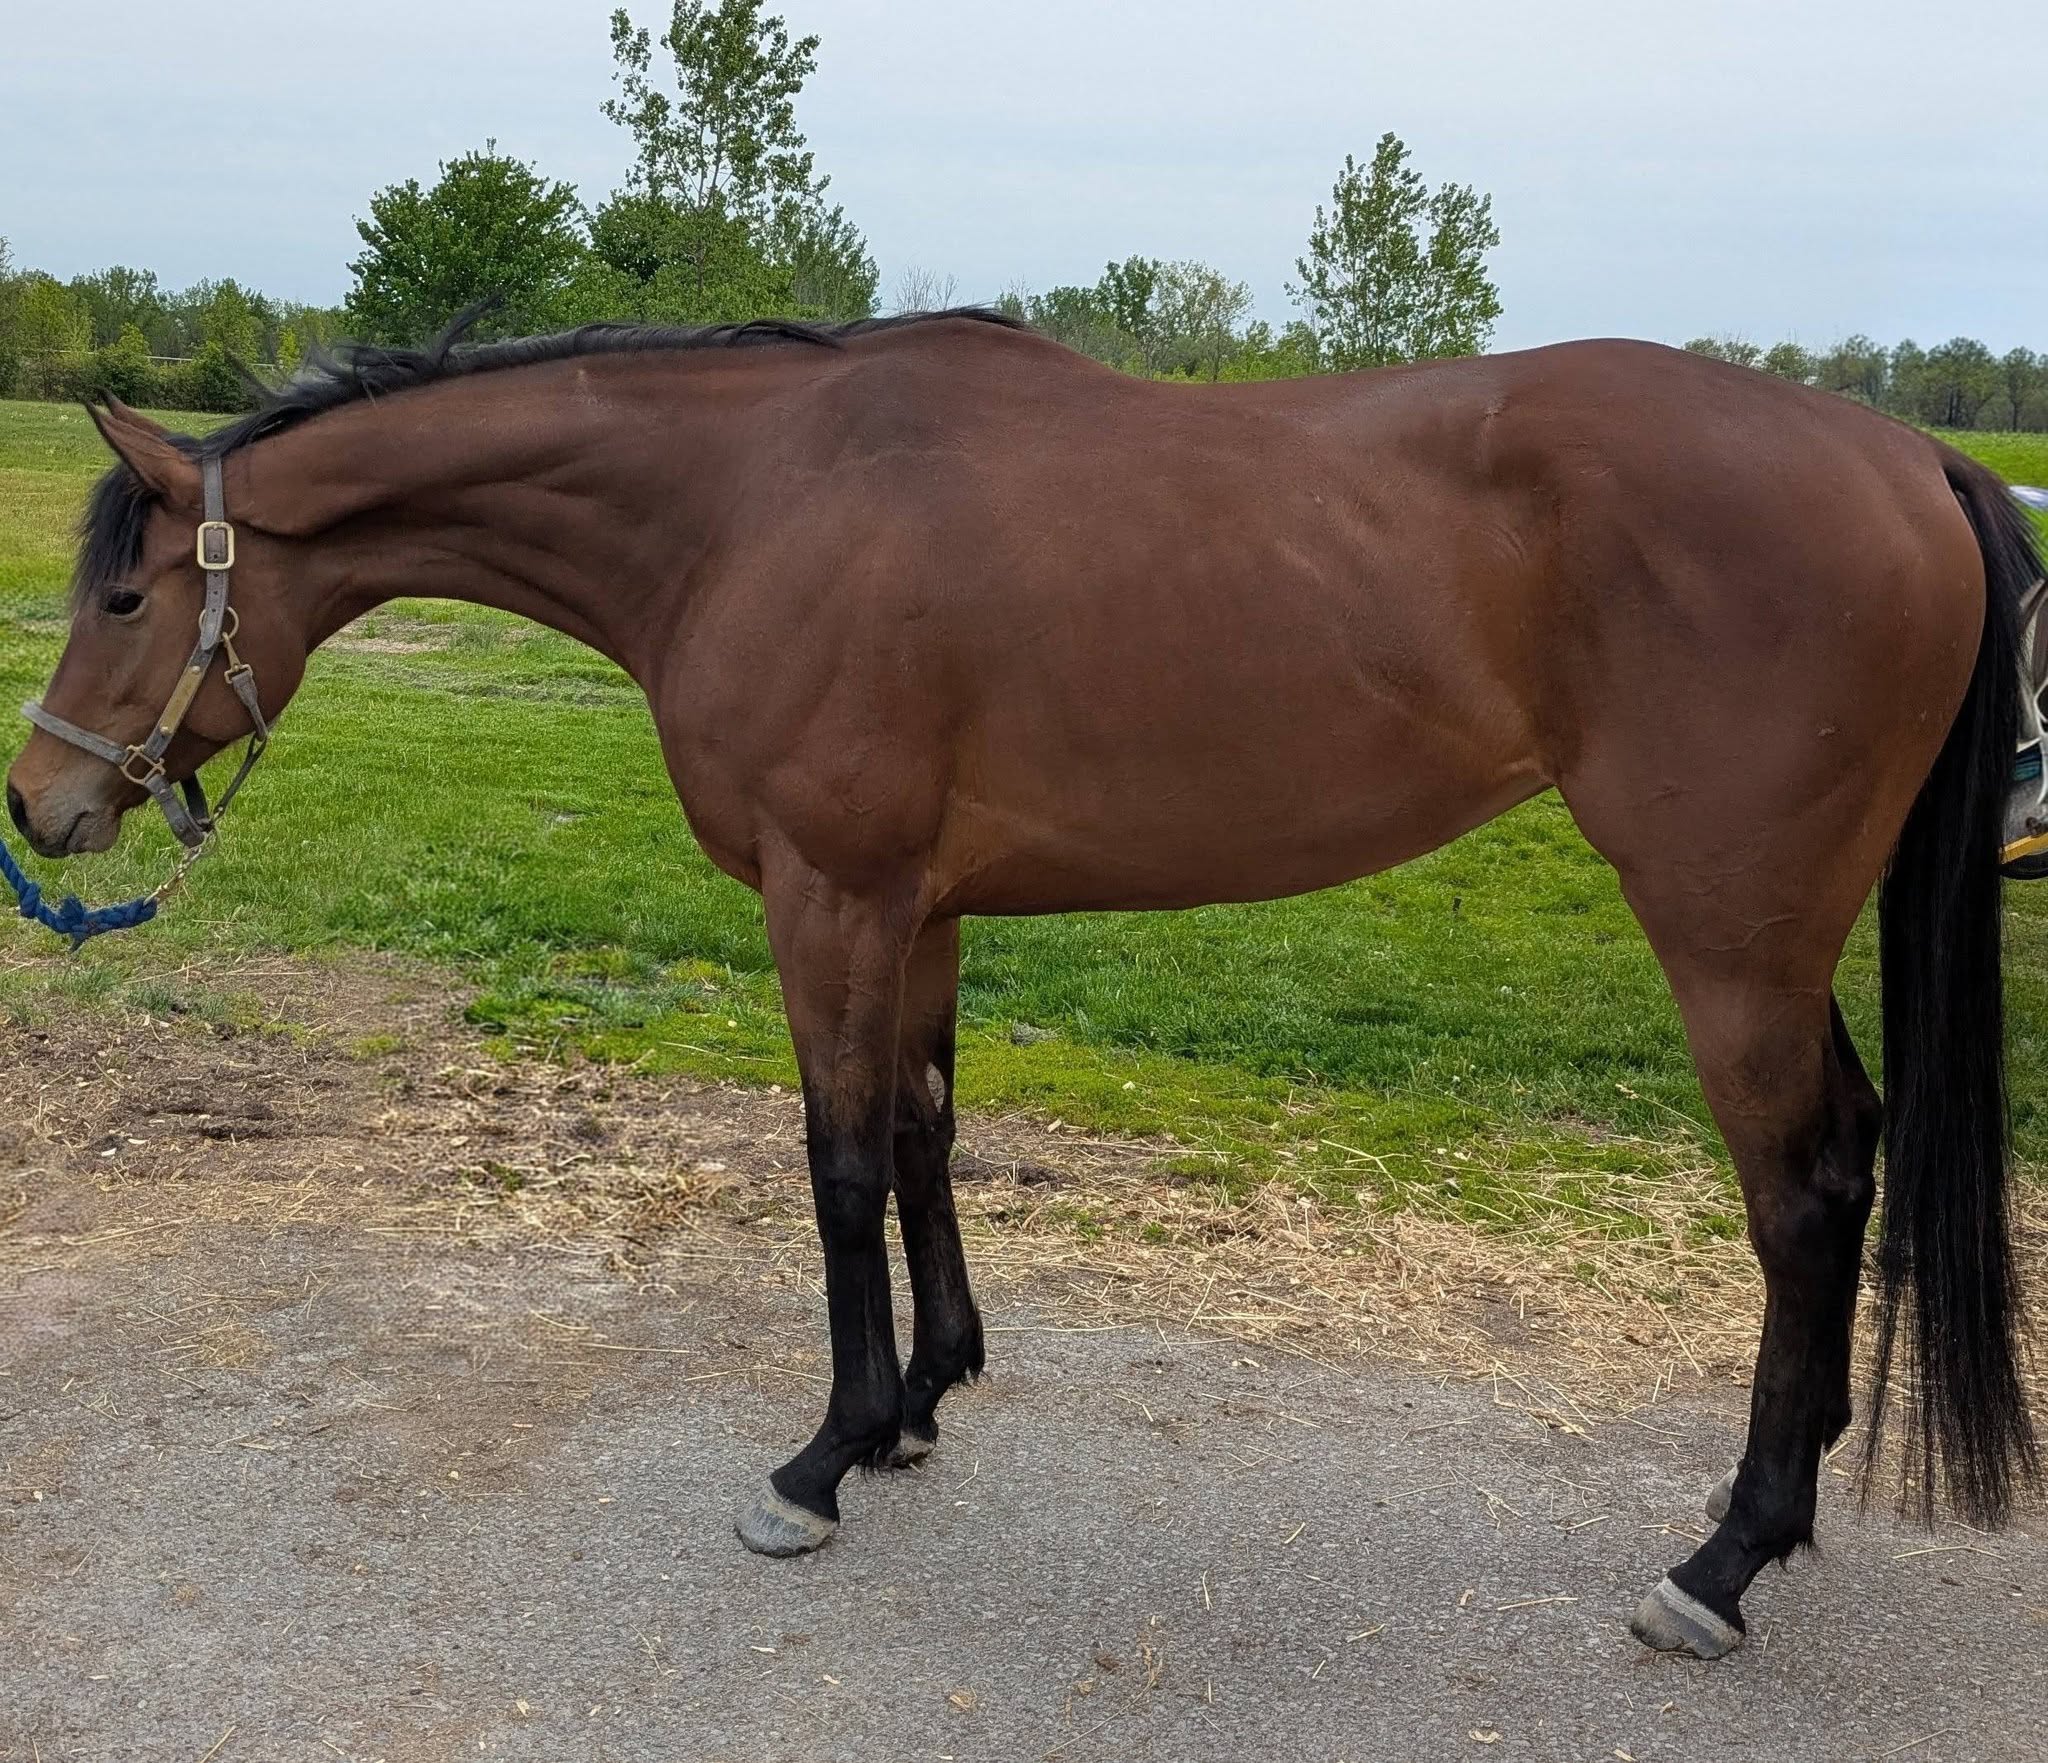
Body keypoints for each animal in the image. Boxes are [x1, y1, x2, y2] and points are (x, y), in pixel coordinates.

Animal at [7, 311, 2039, 1661]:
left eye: (124, 598)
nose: (42, 803)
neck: (751, 501)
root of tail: (1907, 458)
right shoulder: (917, 905)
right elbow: (921, 1129)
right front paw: (919, 1396)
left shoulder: (828, 896)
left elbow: (835, 1161)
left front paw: (817, 1459)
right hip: (1774, 934)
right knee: (1852, 1154)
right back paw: (1790, 1491)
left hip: (1726, 932)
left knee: (1802, 1193)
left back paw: (1723, 1560)